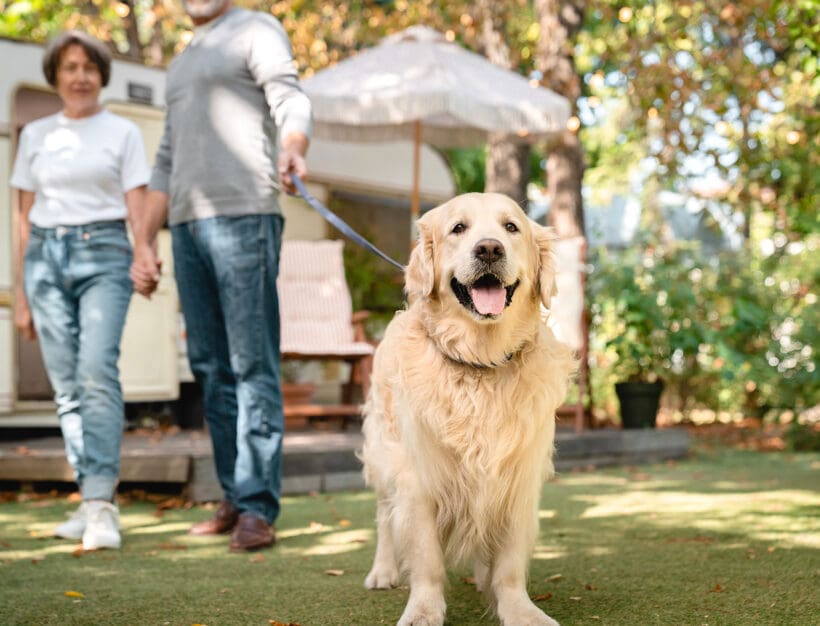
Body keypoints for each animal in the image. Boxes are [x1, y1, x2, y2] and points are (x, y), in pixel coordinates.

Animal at [362, 193, 572, 620]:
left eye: (511, 227)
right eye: (458, 228)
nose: (489, 249)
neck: (480, 364)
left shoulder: (516, 477)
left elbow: (509, 563)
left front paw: (519, 609)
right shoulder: (419, 478)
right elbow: (426, 557)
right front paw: (423, 612)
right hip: (383, 453)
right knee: (384, 516)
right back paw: (383, 570)